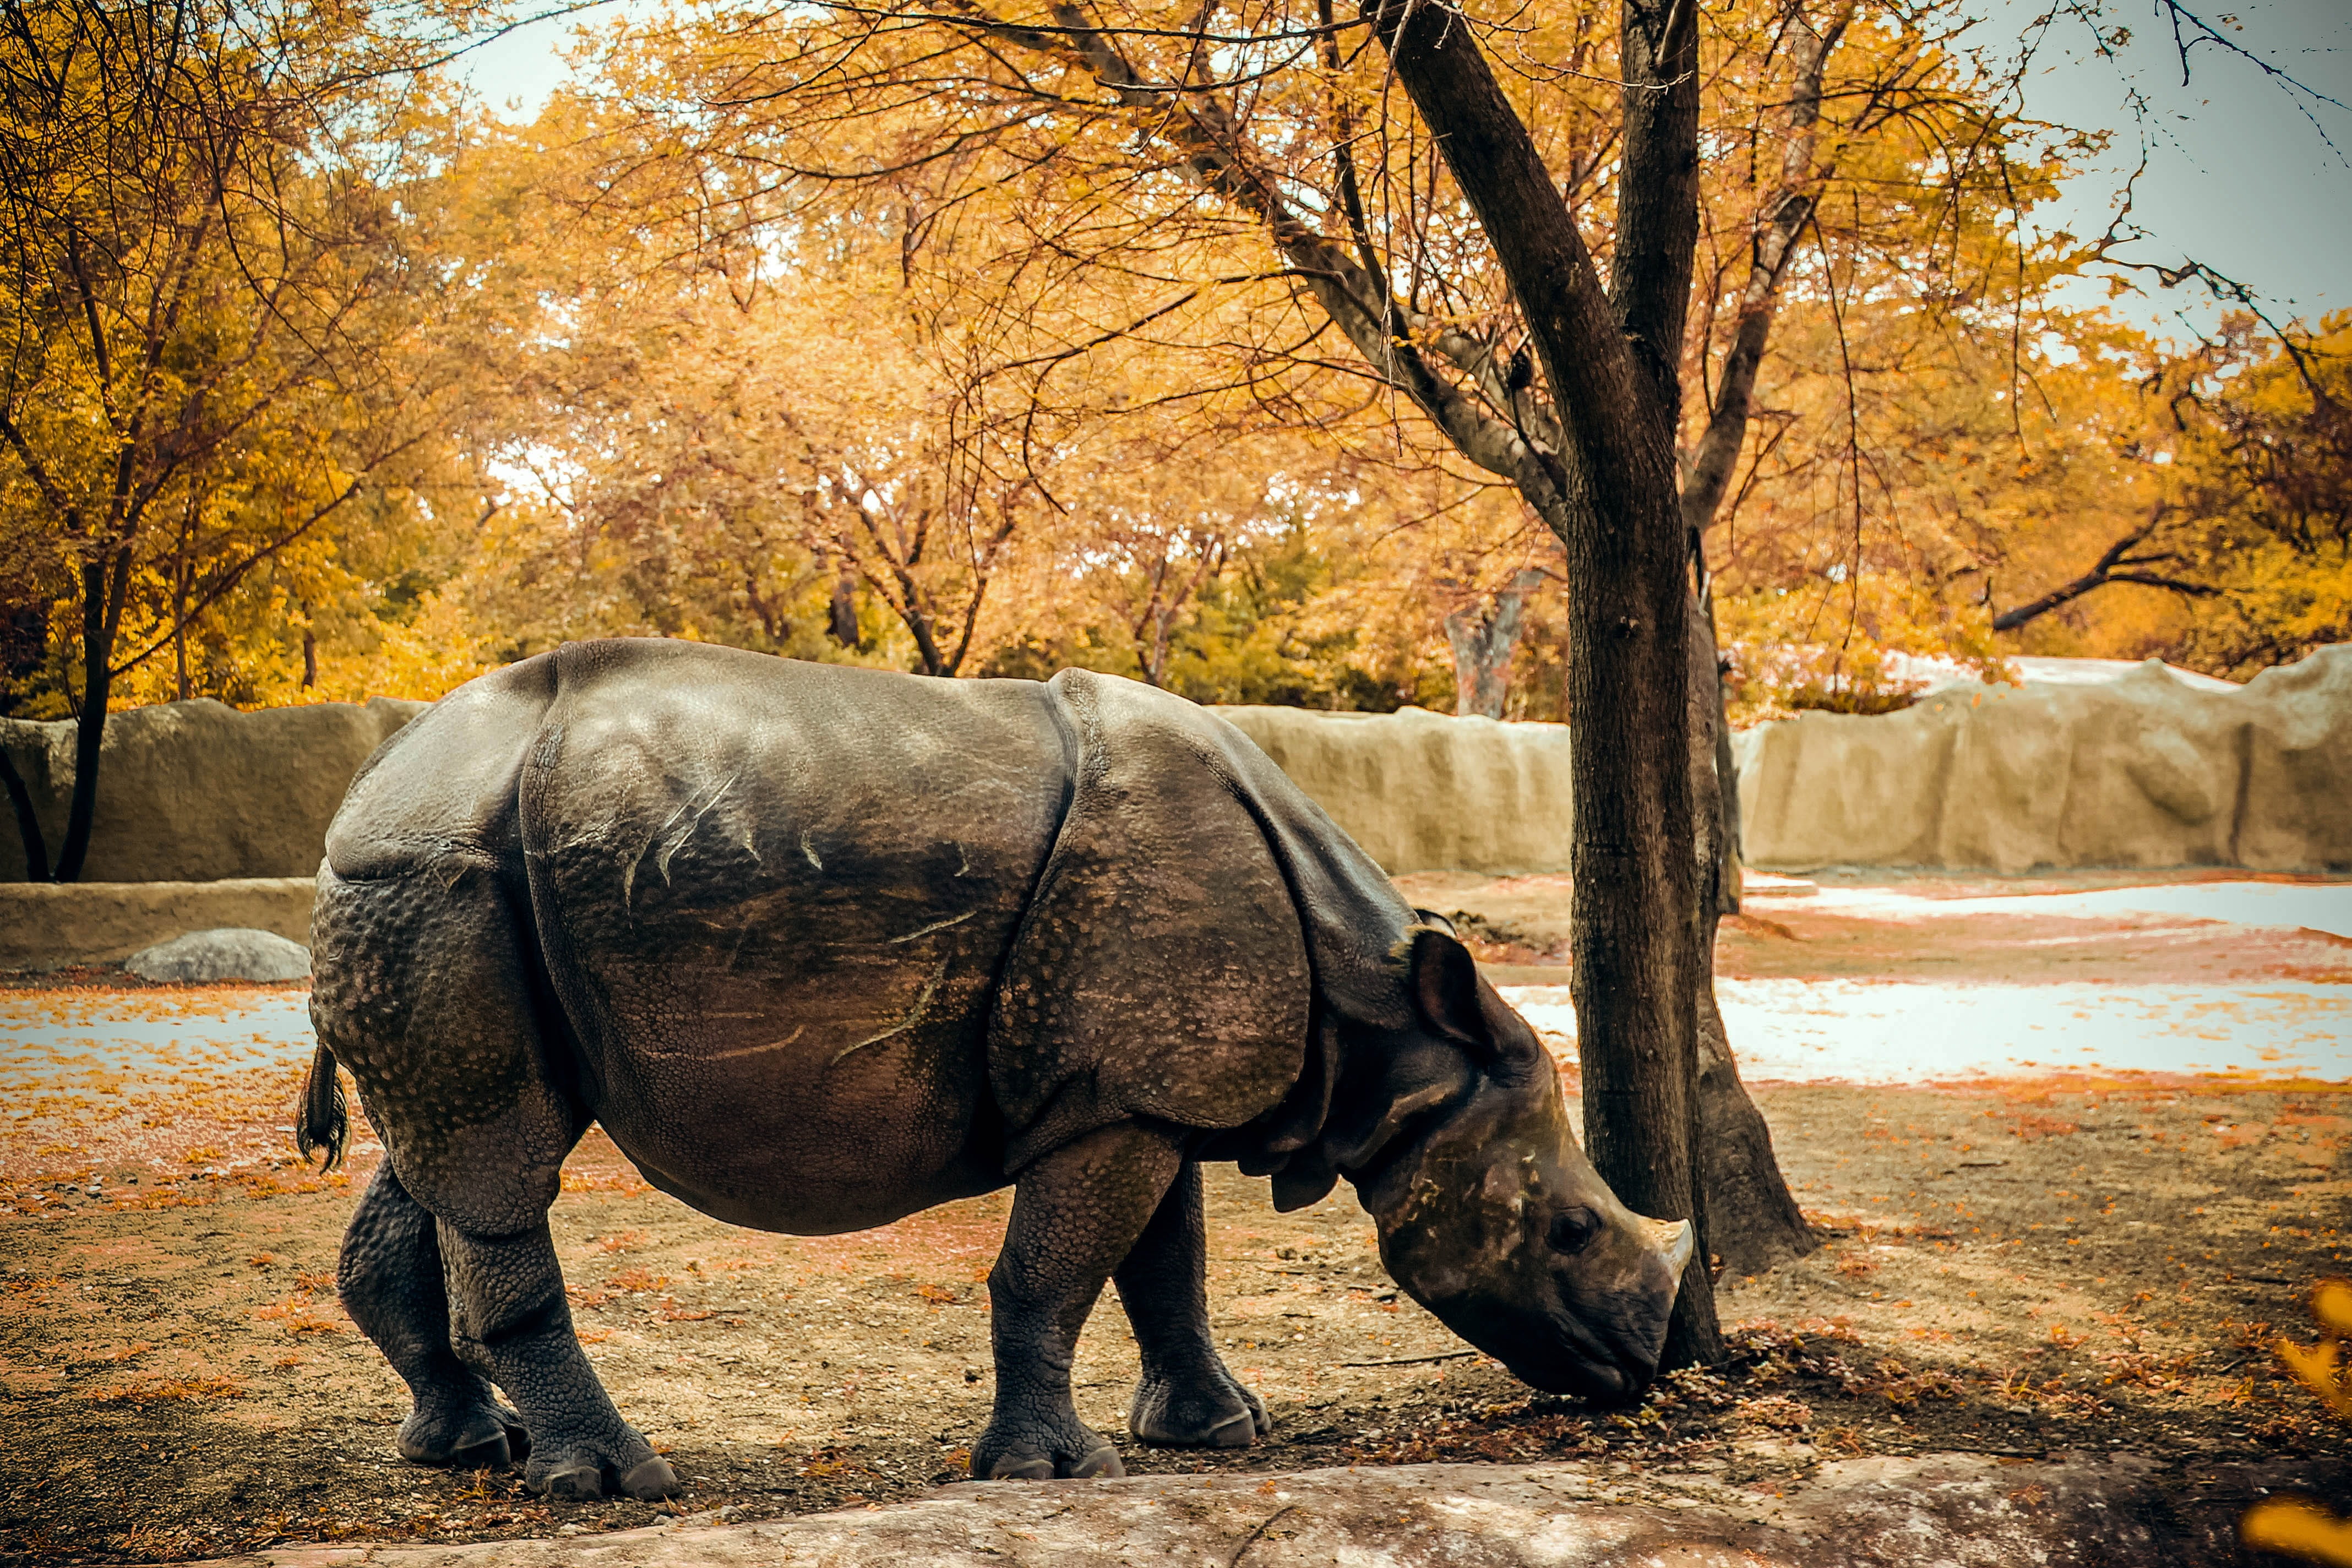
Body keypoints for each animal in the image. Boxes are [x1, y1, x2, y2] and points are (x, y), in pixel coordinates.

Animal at [296, 637, 1694, 1502]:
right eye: (1573, 1228)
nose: (1648, 1361)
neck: (1392, 1031)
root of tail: (375, 779)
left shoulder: (1138, 1086)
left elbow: (1166, 1262)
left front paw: (1215, 1428)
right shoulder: (1125, 1096)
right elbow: (1053, 1272)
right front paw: (1054, 1472)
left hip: (437, 887)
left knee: (442, 1154)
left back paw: (469, 1447)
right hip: (445, 881)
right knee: (504, 1159)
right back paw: (616, 1478)